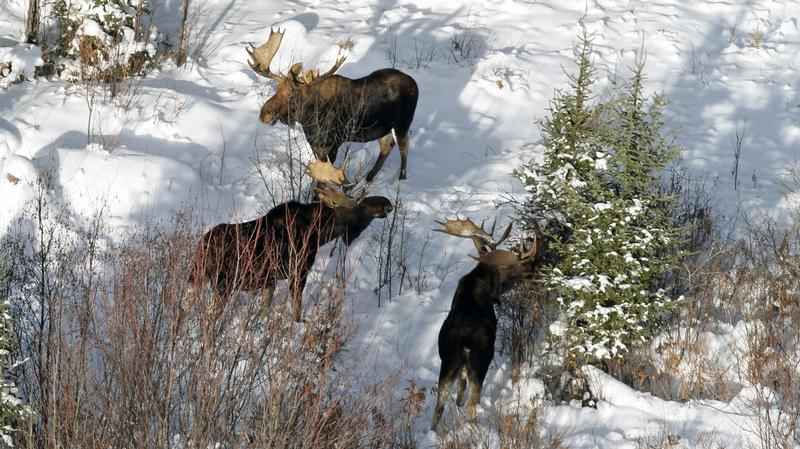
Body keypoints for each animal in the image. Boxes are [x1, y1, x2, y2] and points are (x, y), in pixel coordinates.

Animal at [247, 28, 422, 182]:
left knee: (403, 147)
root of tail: (415, 84)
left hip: (403, 123)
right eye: (276, 90)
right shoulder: (315, 145)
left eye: (291, 95)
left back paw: (400, 179)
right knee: (387, 145)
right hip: (382, 127)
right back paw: (368, 179)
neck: (308, 119)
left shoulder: (332, 144)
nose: (263, 114)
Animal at [432, 217, 544, 430]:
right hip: (481, 359)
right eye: (517, 269)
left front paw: (457, 402)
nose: (535, 273)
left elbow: (459, 391)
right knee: (472, 402)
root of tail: (464, 342)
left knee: (439, 405)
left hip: (448, 362)